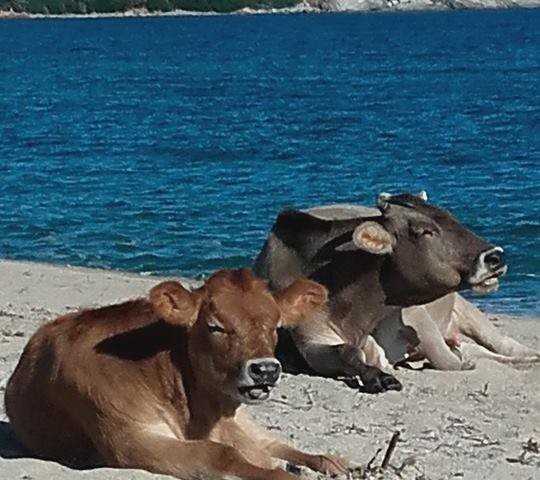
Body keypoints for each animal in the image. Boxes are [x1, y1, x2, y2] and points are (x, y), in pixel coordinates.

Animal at [6, 270, 350, 480]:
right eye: (215, 326)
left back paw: (331, 461)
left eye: (276, 325)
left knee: (272, 442)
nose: (265, 369)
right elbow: (221, 453)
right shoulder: (128, 439)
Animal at [252, 191, 524, 394]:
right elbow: (347, 351)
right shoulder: (311, 340)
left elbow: (450, 361)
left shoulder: (415, 315)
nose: (495, 257)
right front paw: (378, 376)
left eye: (450, 216)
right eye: (423, 230)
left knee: (506, 346)